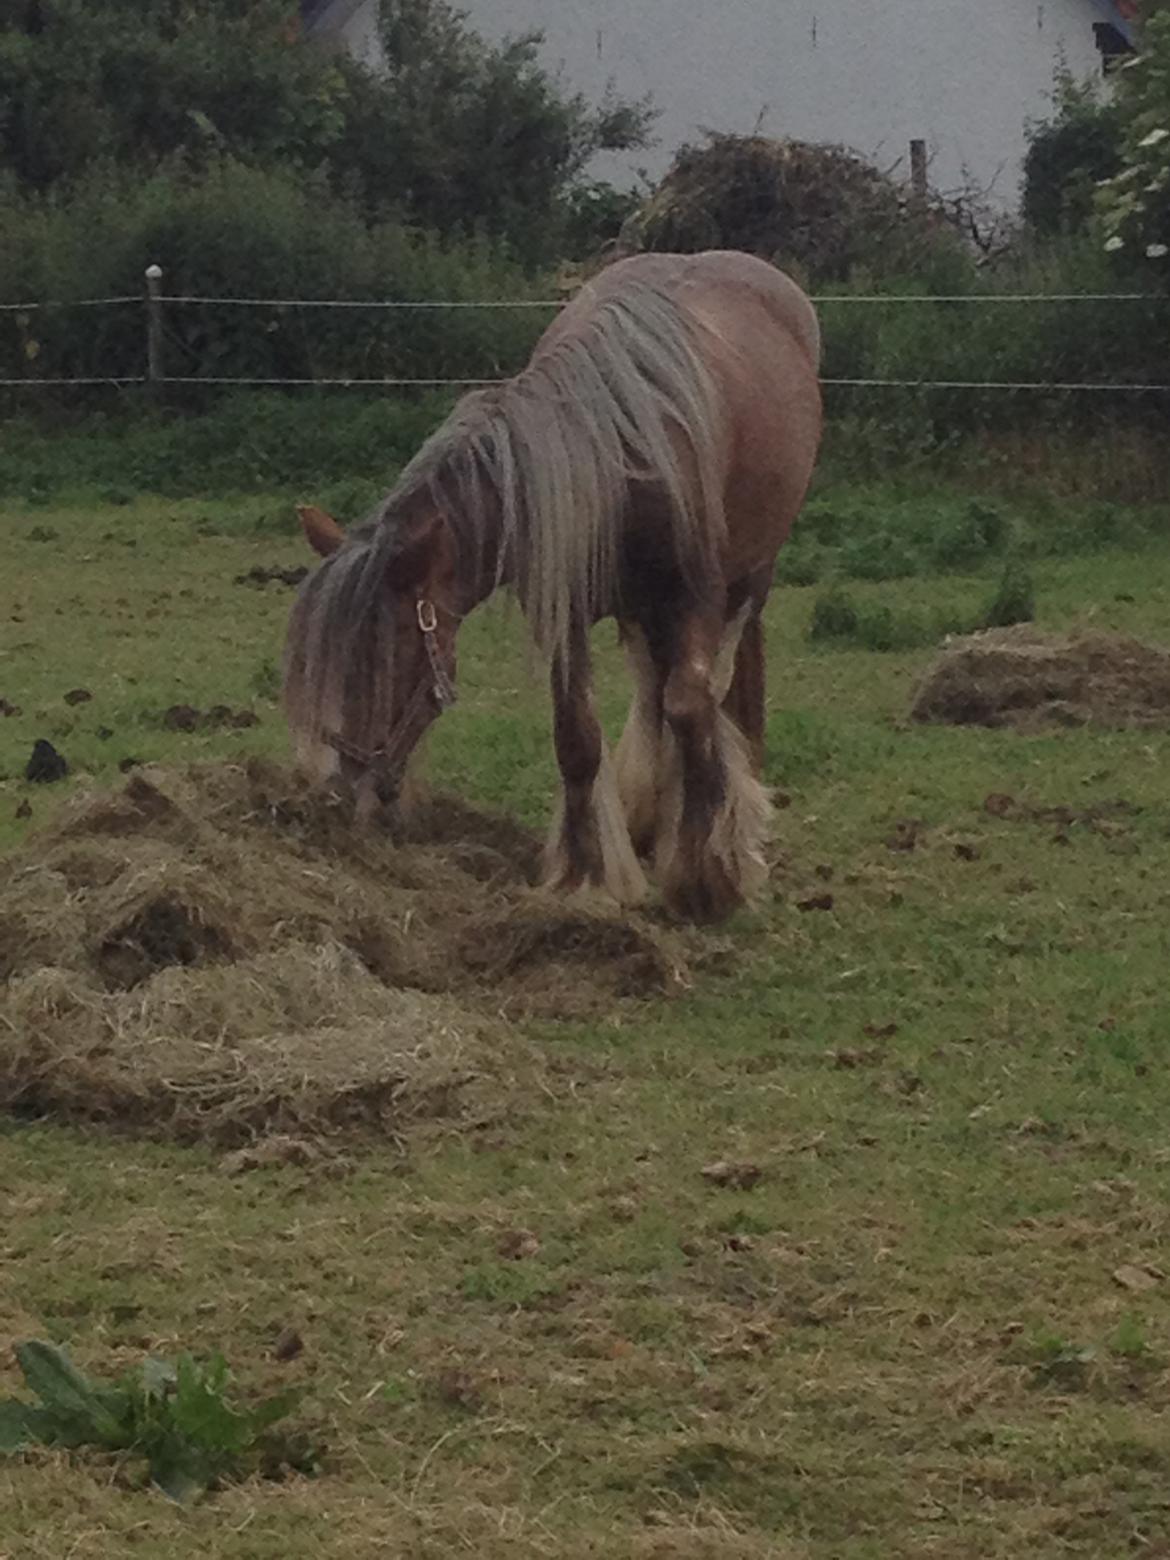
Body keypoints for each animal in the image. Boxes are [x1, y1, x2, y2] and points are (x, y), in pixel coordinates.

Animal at [282, 249, 823, 917]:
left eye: (385, 664)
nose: (337, 792)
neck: (620, 456)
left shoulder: (697, 597)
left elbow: (692, 707)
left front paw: (709, 876)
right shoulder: (569, 614)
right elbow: (578, 736)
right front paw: (586, 875)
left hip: (749, 579)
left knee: (711, 688)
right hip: (640, 609)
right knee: (652, 686)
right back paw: (649, 822)